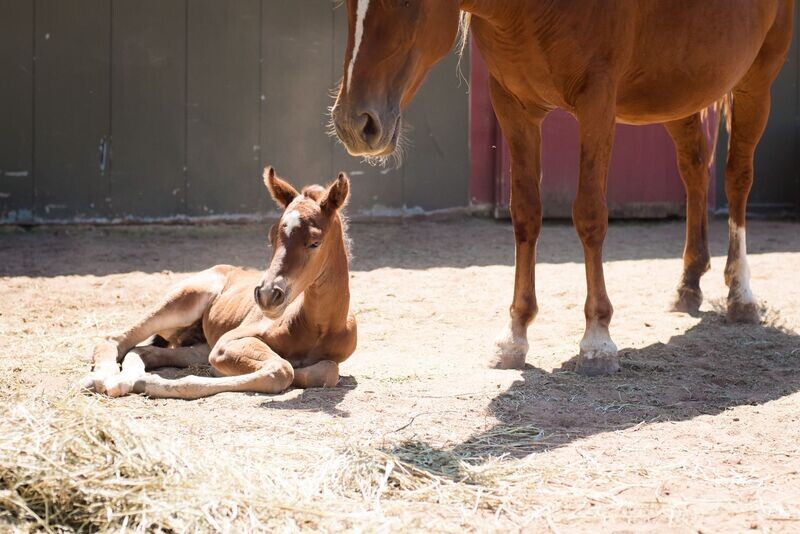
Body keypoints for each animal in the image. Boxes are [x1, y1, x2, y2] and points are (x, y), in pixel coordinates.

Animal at [80, 170, 356, 400]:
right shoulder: (227, 343)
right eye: (271, 238)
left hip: (199, 343)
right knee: (114, 339)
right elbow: (281, 369)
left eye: (314, 242)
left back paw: (126, 378)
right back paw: (102, 379)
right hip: (182, 303)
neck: (317, 326)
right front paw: (151, 383)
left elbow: (327, 371)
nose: (267, 295)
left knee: (145, 351)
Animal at [332, 0, 792, 376]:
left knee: (737, 178)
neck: (531, 9)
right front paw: (514, 335)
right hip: (679, 92)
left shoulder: (597, 103)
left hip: (756, 81)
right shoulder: (512, 104)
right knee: (694, 168)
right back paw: (688, 285)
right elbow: (525, 213)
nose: (355, 124)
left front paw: (597, 340)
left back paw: (741, 295)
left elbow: (589, 215)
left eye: (407, 2)